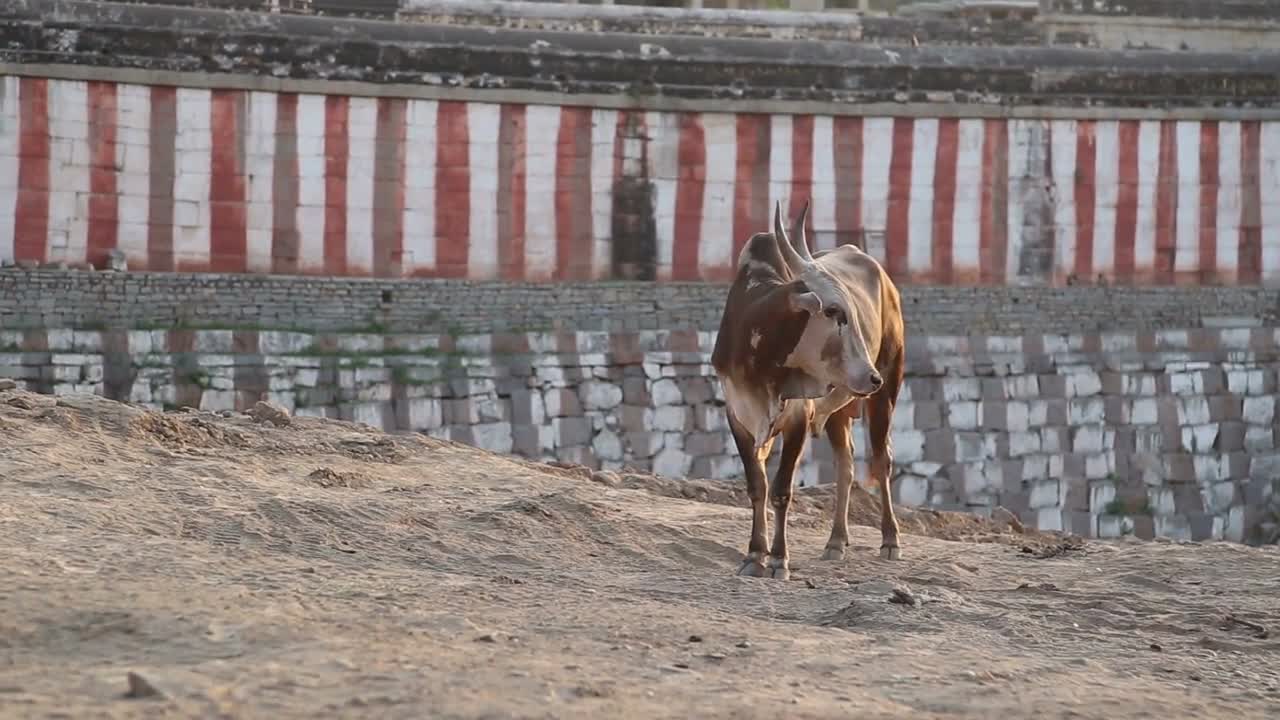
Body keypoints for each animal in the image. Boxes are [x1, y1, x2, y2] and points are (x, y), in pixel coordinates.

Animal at [711, 198, 911, 579]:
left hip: (887, 391)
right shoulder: (738, 415)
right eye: (833, 311)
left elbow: (781, 490)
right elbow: (756, 486)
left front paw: (778, 560)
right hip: (839, 411)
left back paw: (891, 539)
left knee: (882, 460)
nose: (870, 377)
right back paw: (836, 542)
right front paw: (754, 555)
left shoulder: (798, 420)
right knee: (845, 464)